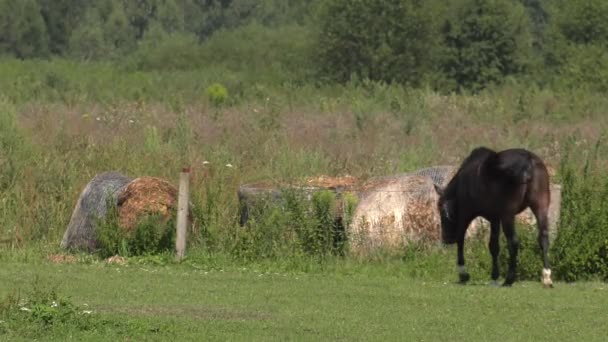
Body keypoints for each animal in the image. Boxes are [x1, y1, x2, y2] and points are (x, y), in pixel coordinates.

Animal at [434, 146, 552, 288]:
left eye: (442, 211)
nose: (446, 239)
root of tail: (529, 162)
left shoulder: (467, 215)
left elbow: (462, 240)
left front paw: (464, 274)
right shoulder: (495, 218)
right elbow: (494, 246)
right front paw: (494, 277)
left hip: (508, 215)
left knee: (513, 241)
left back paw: (509, 279)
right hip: (541, 207)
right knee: (543, 238)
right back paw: (546, 276)